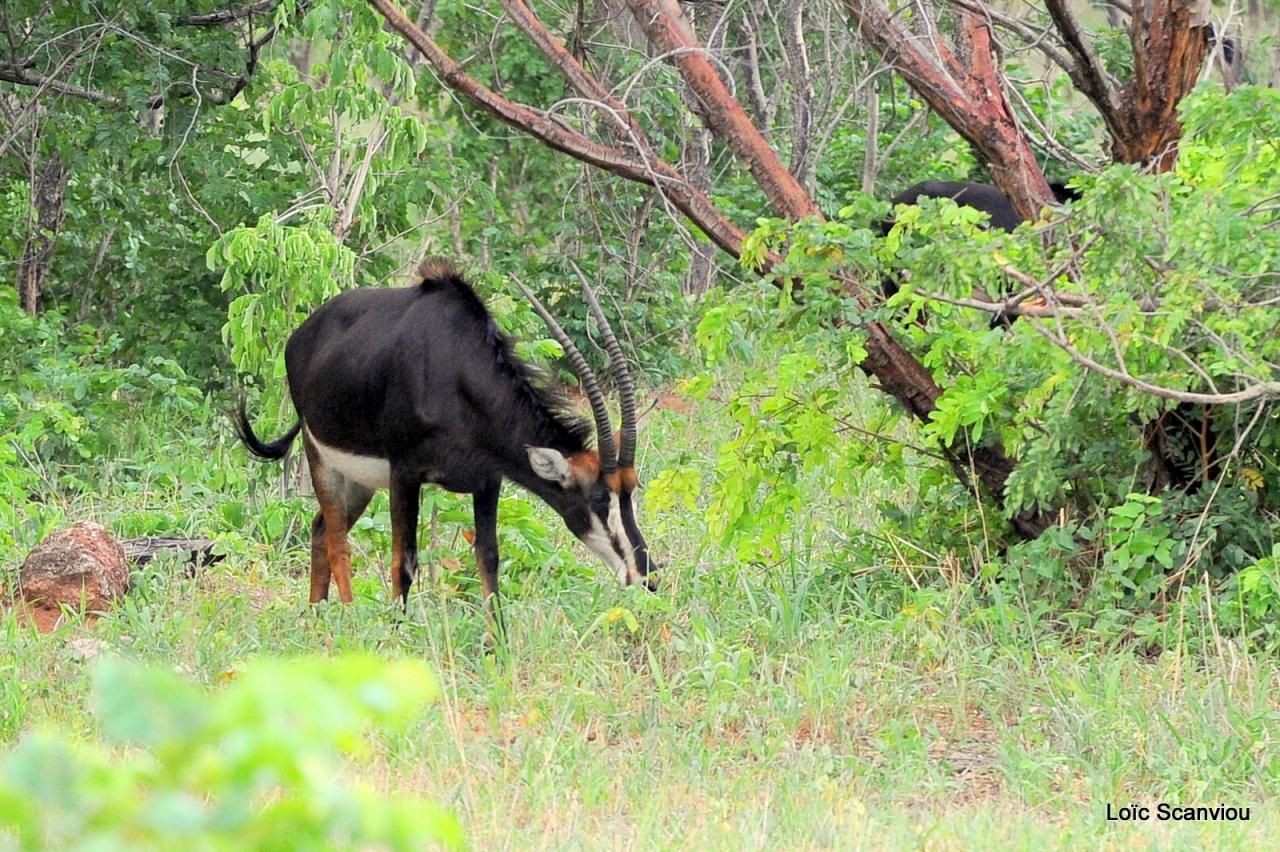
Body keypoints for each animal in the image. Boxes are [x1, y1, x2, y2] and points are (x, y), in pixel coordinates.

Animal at [236, 258, 660, 624]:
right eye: (599, 498)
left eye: (631, 490)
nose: (647, 575)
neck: (455, 371)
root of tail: (301, 335)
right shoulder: (404, 475)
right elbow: (403, 563)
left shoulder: (488, 481)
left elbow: (489, 558)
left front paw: (497, 645)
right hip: (322, 458)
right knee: (338, 541)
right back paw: (349, 619)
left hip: (360, 481)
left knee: (321, 530)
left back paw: (316, 621)